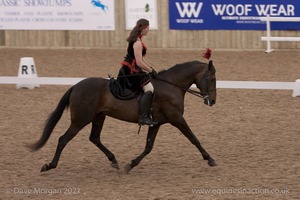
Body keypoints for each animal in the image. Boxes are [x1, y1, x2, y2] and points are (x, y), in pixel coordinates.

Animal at [28, 59, 218, 173]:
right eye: (212, 79)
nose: (213, 101)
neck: (171, 85)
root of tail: (76, 86)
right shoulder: (177, 119)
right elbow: (194, 139)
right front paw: (210, 159)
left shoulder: (156, 123)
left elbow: (148, 147)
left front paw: (131, 165)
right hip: (81, 120)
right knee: (63, 139)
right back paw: (49, 165)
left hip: (98, 117)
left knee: (94, 138)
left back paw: (114, 160)